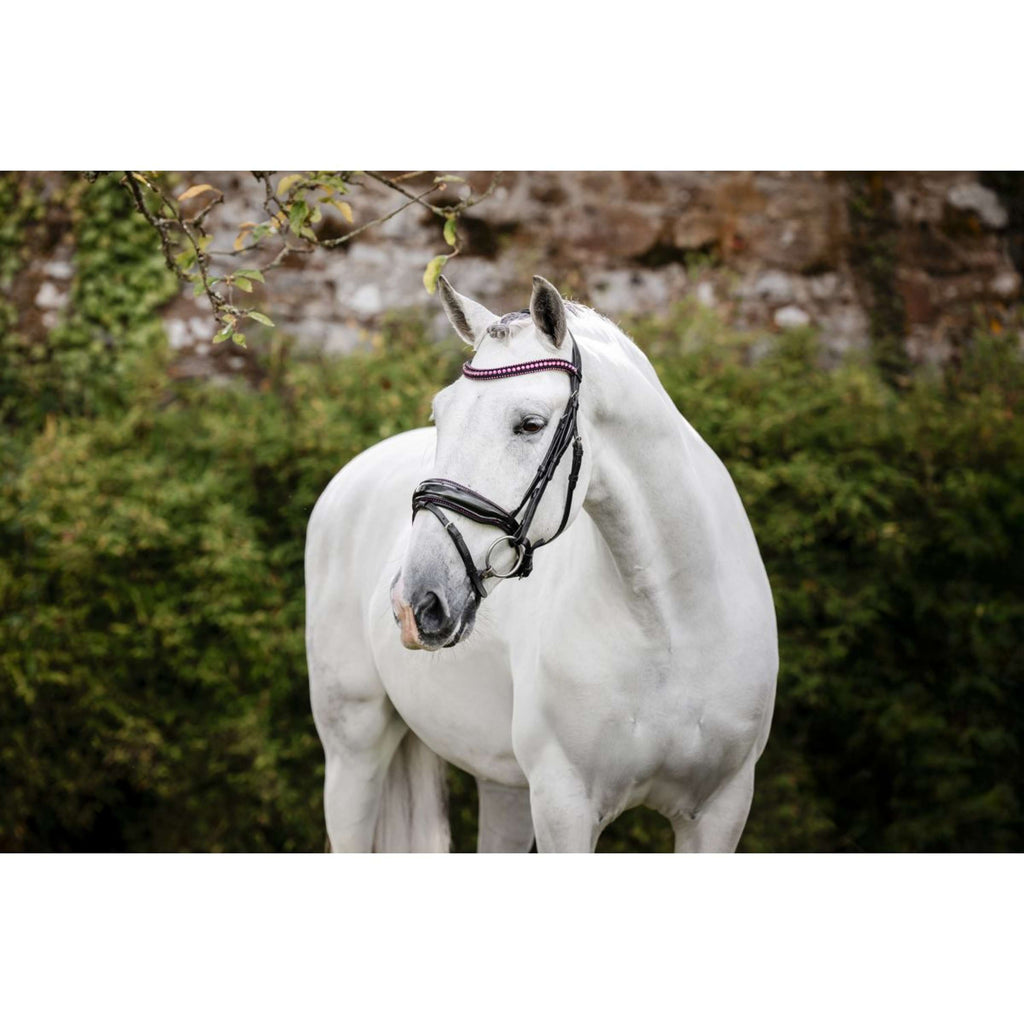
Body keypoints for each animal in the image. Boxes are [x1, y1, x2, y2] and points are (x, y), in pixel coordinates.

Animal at [305, 275, 778, 852]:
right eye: (441, 414)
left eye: (530, 424)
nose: (415, 603)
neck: (673, 625)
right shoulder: (564, 804)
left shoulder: (720, 810)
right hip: (354, 749)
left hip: (501, 783)